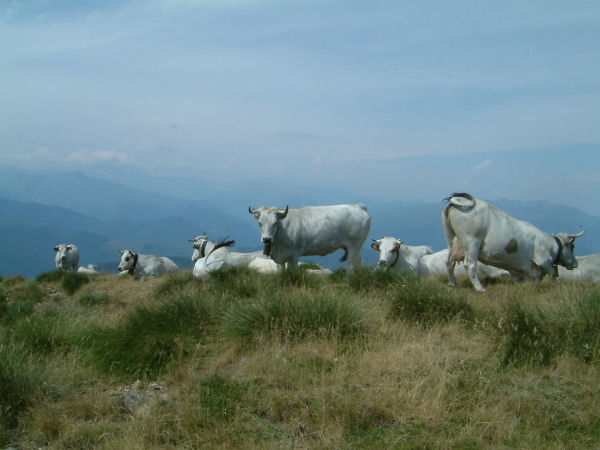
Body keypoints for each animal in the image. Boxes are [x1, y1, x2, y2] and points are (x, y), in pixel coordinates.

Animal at [442, 192, 584, 292]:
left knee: (449, 262)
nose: (576, 264)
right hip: (472, 241)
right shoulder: (543, 259)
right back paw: (480, 288)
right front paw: (554, 286)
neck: (552, 244)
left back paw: (453, 284)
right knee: (470, 265)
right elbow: (553, 273)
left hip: (452, 240)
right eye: (572, 246)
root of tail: (459, 202)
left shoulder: (517, 267)